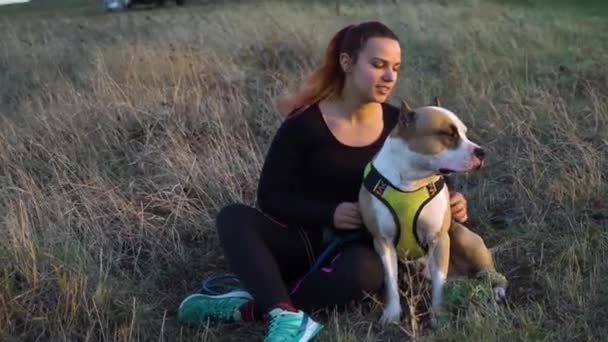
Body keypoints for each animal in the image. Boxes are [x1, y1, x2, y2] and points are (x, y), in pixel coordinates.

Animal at [358, 98, 506, 326]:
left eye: (464, 133)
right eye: (449, 134)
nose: (481, 152)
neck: (411, 181)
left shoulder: (439, 239)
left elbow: (439, 284)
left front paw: (438, 316)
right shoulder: (383, 242)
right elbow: (390, 281)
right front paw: (391, 314)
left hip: (464, 238)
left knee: (494, 275)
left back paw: (497, 291)